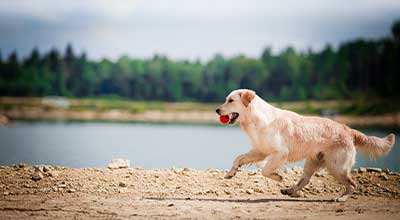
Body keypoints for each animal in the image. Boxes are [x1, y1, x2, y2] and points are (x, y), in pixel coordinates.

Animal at [216, 89, 394, 201]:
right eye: (226, 99)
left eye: (231, 100)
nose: (217, 110)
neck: (256, 119)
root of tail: (348, 129)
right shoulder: (260, 150)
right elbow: (238, 158)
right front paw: (231, 173)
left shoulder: (281, 152)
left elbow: (265, 170)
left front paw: (278, 176)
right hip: (313, 161)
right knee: (305, 180)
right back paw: (290, 191)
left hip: (337, 166)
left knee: (352, 184)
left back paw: (341, 198)